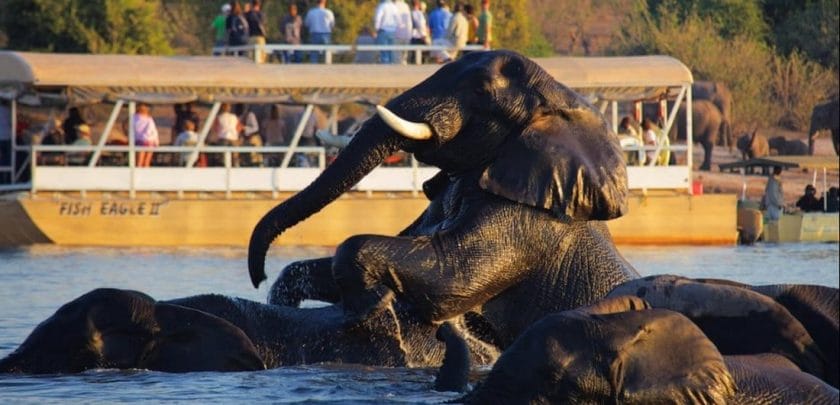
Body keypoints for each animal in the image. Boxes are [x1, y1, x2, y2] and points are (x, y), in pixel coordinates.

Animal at [249, 49, 636, 348]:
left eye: (481, 90)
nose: (257, 277)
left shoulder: (529, 222)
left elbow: (453, 276)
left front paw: (374, 306)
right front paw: (284, 298)